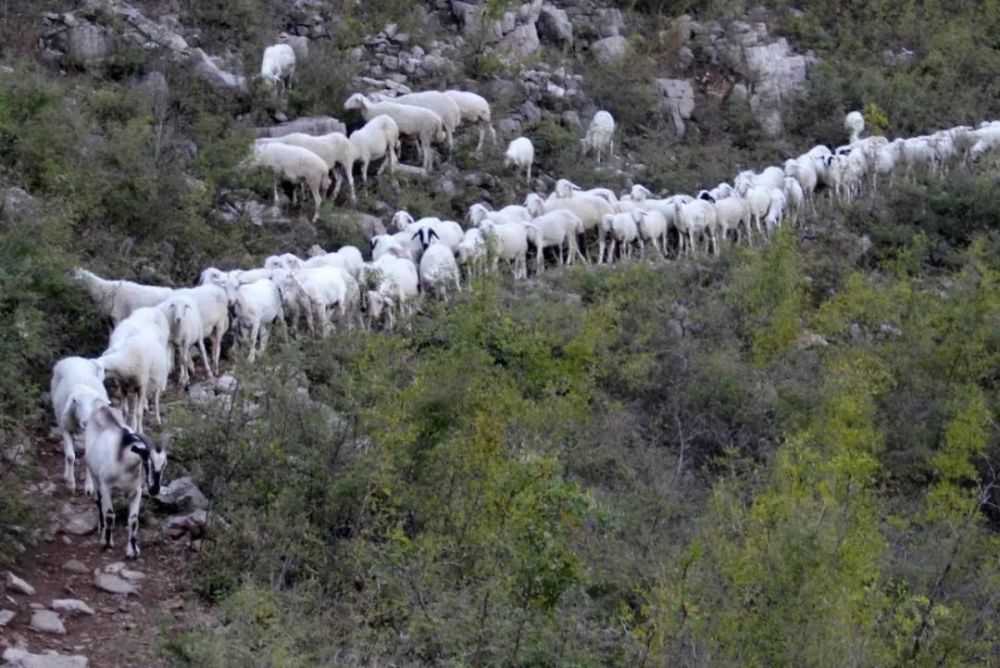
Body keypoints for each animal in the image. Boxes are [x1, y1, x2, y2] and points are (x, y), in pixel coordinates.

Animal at [49, 358, 108, 494]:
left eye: (94, 401)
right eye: (75, 401)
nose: (86, 422)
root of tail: (76, 358)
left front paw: (89, 487)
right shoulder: (66, 428)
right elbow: (70, 456)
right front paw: (71, 484)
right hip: (61, 421)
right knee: (67, 451)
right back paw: (66, 475)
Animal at [84, 404, 166, 560]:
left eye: (164, 465)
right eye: (147, 461)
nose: (154, 489)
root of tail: (103, 408)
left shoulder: (136, 491)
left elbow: (133, 520)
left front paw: (132, 551)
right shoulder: (106, 486)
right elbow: (109, 514)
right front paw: (107, 543)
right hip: (94, 476)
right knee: (98, 502)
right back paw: (102, 530)